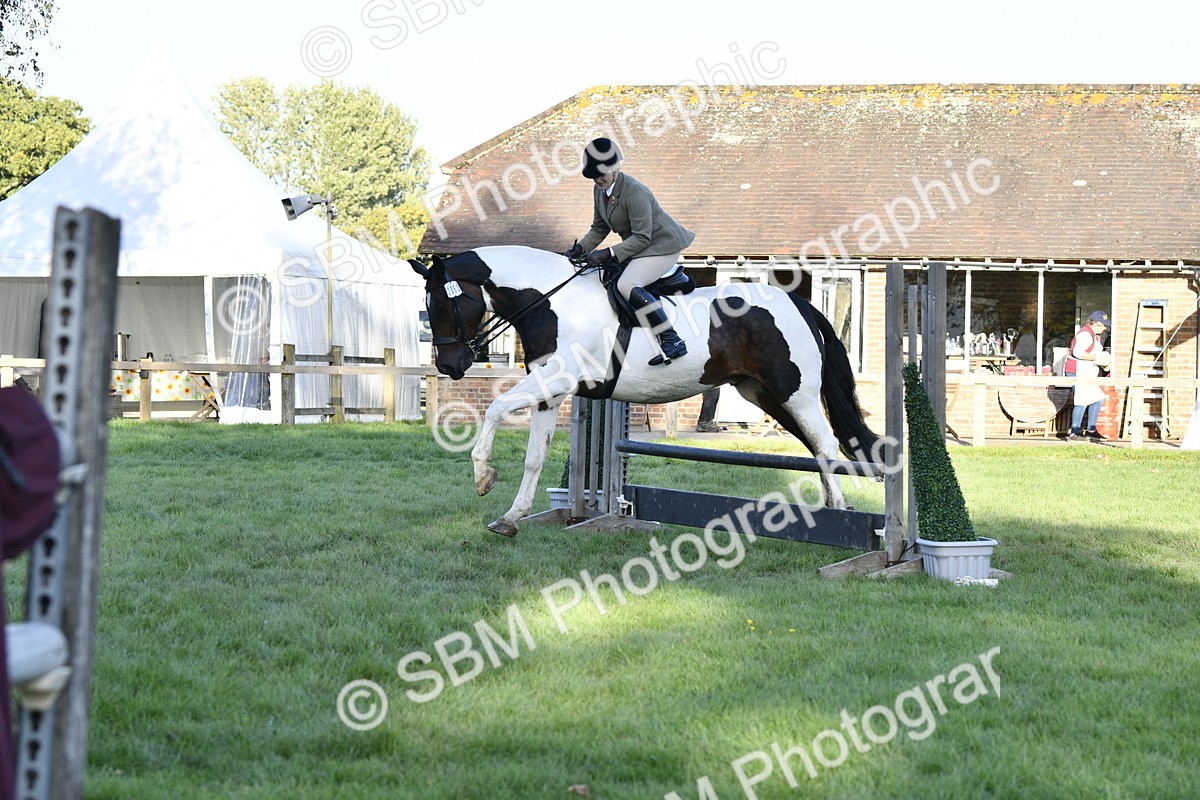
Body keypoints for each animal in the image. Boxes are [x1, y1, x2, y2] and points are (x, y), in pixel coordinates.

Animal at [409, 245, 880, 537]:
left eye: (443, 304)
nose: (449, 367)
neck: (548, 301)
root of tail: (800, 304)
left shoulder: (555, 380)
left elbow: (494, 409)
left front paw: (483, 478)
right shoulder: (549, 390)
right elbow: (534, 457)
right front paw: (511, 517)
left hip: (795, 392)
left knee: (825, 443)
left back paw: (840, 516)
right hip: (764, 394)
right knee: (816, 446)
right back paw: (831, 510)